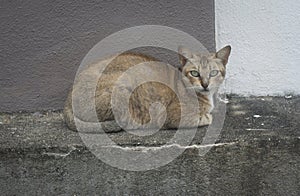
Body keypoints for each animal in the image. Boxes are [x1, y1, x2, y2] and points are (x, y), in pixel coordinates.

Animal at [63, 45, 232, 132]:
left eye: (213, 72)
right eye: (195, 73)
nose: (205, 84)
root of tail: (67, 104)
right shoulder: (177, 116)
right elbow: (205, 117)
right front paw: (208, 116)